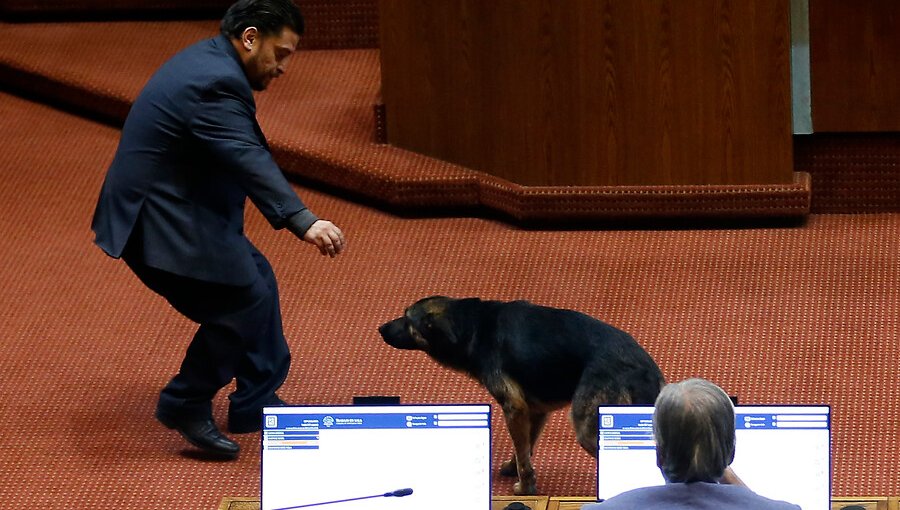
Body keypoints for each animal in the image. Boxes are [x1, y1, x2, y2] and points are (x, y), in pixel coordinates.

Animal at [376, 294, 664, 494]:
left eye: (407, 319)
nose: (380, 328)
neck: (473, 326)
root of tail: (644, 369)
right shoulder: (534, 411)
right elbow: (525, 448)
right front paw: (512, 467)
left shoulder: (513, 407)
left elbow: (524, 460)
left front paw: (525, 489)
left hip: (588, 430)